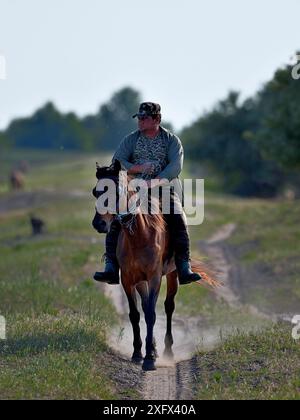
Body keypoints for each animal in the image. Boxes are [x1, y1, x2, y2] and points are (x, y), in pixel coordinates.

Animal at [94, 160, 218, 370]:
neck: (139, 236)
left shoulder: (154, 278)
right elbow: (135, 314)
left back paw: (167, 350)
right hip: (140, 281)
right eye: (95, 191)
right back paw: (152, 347)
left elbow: (152, 314)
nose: (99, 224)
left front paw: (149, 359)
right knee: (145, 306)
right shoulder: (128, 279)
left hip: (172, 275)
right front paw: (138, 353)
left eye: (116, 191)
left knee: (168, 307)